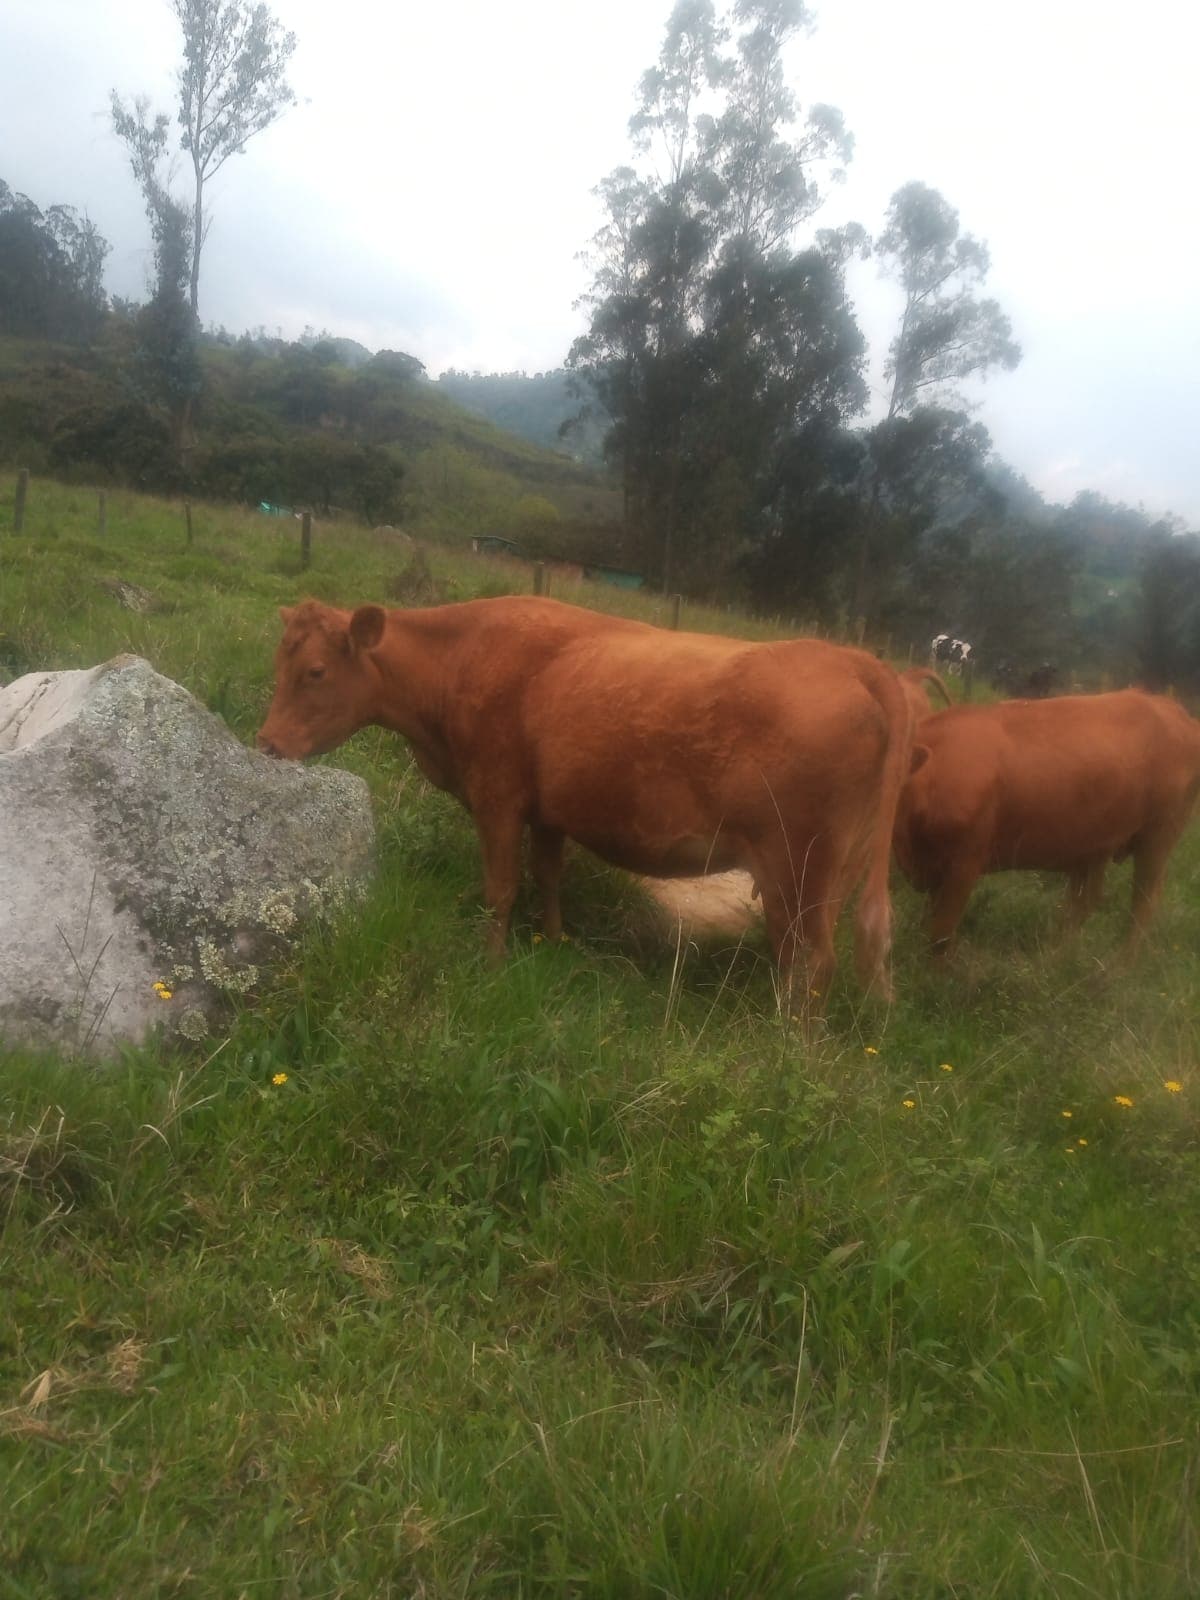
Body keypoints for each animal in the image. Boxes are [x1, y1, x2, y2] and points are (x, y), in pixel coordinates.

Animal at [257, 596, 917, 1013]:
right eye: (280, 663)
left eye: (314, 671)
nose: (267, 744)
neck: (462, 660)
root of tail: (853, 660)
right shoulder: (549, 810)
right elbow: (550, 876)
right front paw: (553, 942)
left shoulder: (497, 798)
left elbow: (501, 888)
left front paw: (491, 965)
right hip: (825, 875)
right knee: (798, 957)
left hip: (798, 866)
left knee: (814, 963)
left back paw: (791, 1049)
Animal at [893, 690, 1200, 954]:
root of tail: (1173, 710)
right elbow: (929, 922)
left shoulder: (965, 865)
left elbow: (940, 935)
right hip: (1094, 845)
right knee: (1083, 902)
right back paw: (1058, 954)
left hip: (1158, 838)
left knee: (1144, 903)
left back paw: (1118, 967)